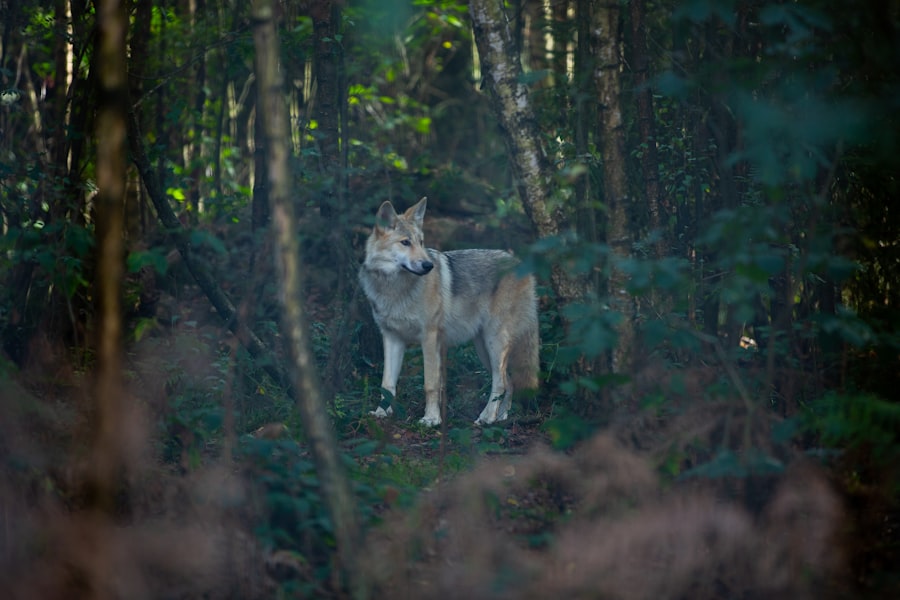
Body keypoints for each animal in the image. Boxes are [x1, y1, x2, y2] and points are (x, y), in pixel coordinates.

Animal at [359, 197, 539, 426]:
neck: (394, 288)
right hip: (484, 348)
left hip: (495, 342)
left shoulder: (429, 338)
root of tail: (521, 264)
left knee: (500, 383)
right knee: (509, 381)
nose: (428, 265)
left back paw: (487, 418)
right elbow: (387, 383)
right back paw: (501, 417)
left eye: (421, 242)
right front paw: (381, 413)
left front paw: (431, 419)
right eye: (405, 242)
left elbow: (430, 384)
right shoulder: (392, 338)